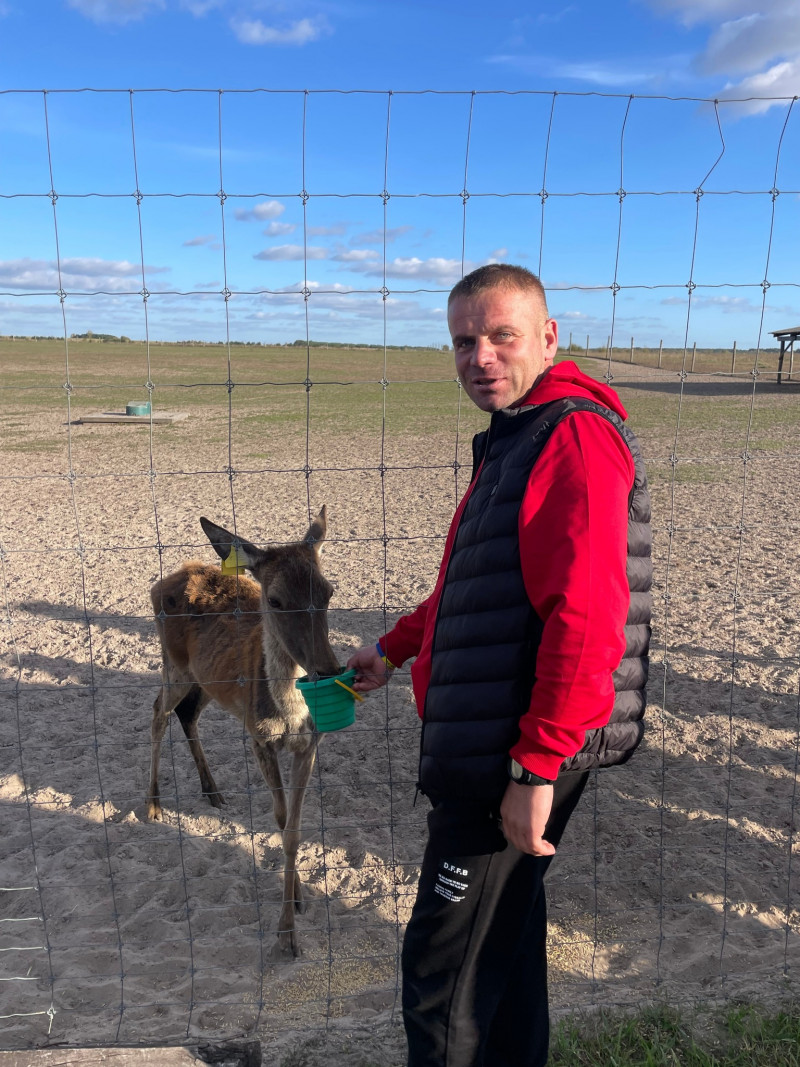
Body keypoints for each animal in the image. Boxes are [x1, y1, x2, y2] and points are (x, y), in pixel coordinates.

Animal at [147, 505, 341, 960]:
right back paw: (153, 804)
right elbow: (281, 820)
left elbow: (295, 830)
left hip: (205, 680)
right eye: (275, 600)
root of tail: (164, 581)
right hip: (174, 665)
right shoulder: (259, 738)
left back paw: (212, 790)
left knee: (187, 715)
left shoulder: (310, 745)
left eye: (328, 592)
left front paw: (298, 902)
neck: (289, 715)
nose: (329, 670)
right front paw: (286, 933)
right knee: (158, 712)